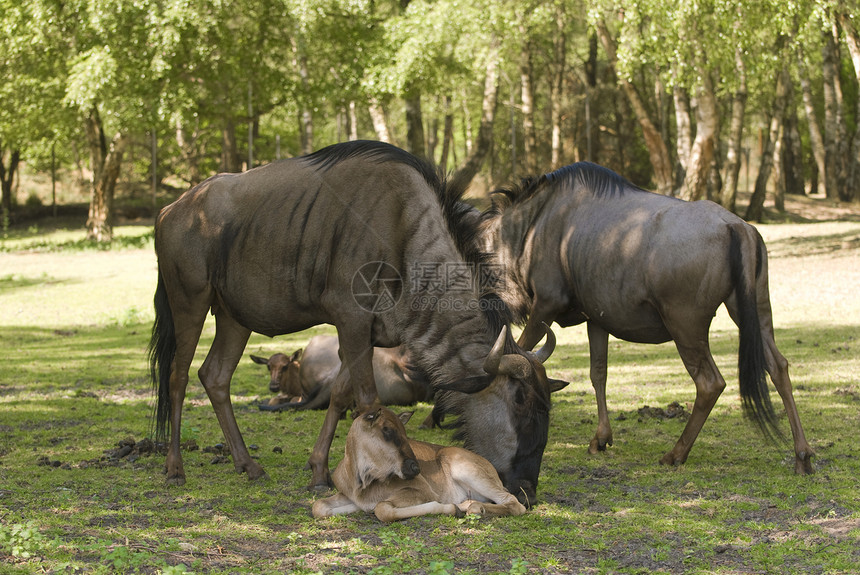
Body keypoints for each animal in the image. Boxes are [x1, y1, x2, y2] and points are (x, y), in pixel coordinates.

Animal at [310, 408, 524, 524]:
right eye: (387, 430)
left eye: (405, 432)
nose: (415, 468)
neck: (361, 481)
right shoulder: (349, 496)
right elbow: (318, 506)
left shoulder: (423, 491)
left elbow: (382, 509)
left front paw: (451, 508)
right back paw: (470, 505)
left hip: (467, 470)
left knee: (515, 503)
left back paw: (472, 508)